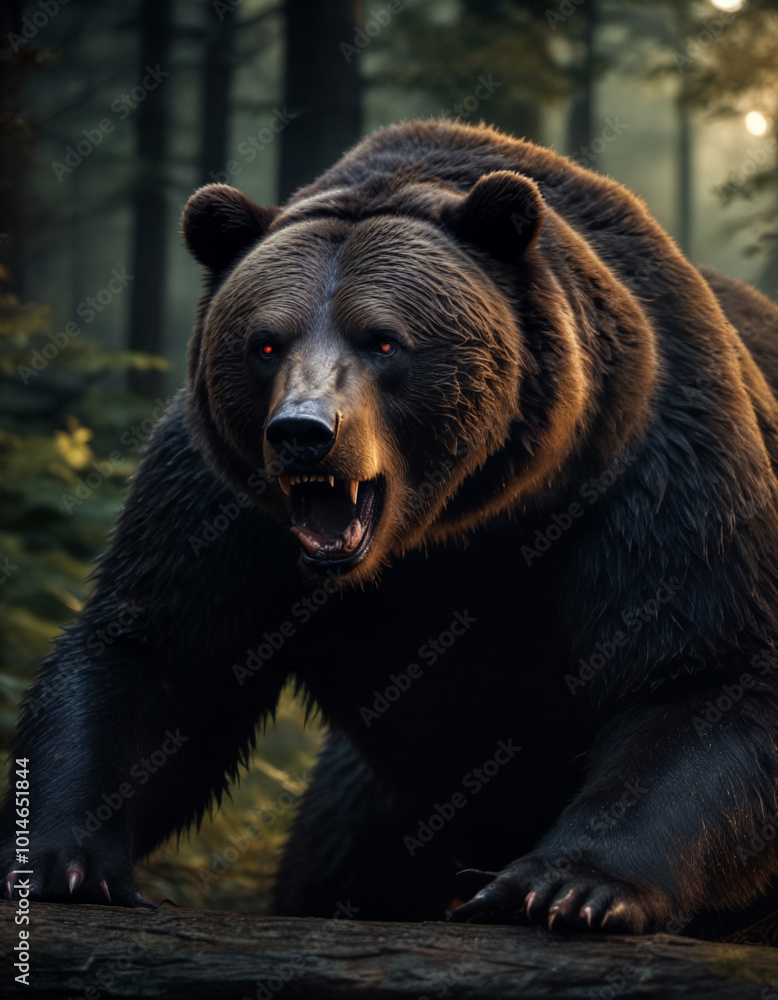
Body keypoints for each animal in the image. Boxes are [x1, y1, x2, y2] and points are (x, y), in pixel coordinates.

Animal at [3, 117, 778, 937]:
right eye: (264, 342)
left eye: (382, 339)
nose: (303, 432)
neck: (453, 530)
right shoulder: (223, 504)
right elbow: (156, 653)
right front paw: (65, 861)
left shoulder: (643, 471)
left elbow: (703, 672)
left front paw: (564, 887)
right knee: (338, 852)